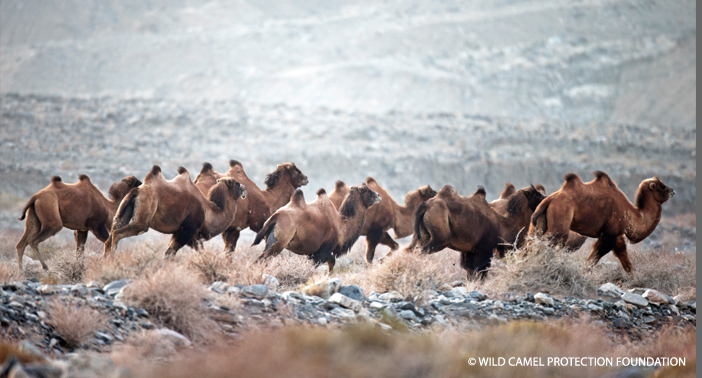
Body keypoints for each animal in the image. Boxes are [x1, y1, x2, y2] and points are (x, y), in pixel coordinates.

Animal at [103, 166, 248, 258]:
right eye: (236, 183)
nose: (245, 188)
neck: (210, 213)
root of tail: (137, 190)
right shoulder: (187, 231)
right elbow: (169, 253)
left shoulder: (189, 235)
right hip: (143, 217)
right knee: (117, 234)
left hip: (122, 214)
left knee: (110, 236)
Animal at [253, 183, 382, 272]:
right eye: (367, 191)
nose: (379, 195)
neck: (342, 224)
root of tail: (275, 216)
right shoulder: (323, 250)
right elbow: (319, 264)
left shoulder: (320, 251)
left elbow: (331, 263)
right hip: (281, 240)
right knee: (264, 257)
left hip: (271, 238)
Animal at [404, 185, 548, 278]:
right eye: (537, 194)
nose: (546, 197)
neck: (504, 224)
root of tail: (425, 206)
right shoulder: (484, 249)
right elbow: (480, 271)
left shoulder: (470, 250)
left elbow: (470, 271)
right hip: (439, 238)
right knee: (421, 251)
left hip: (420, 236)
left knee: (409, 250)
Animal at [532, 171, 676, 272]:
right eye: (662, 187)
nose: (673, 191)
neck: (630, 213)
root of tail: (550, 199)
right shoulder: (609, 234)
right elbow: (593, 258)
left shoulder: (617, 235)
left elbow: (626, 261)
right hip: (561, 215)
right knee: (550, 239)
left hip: (543, 219)